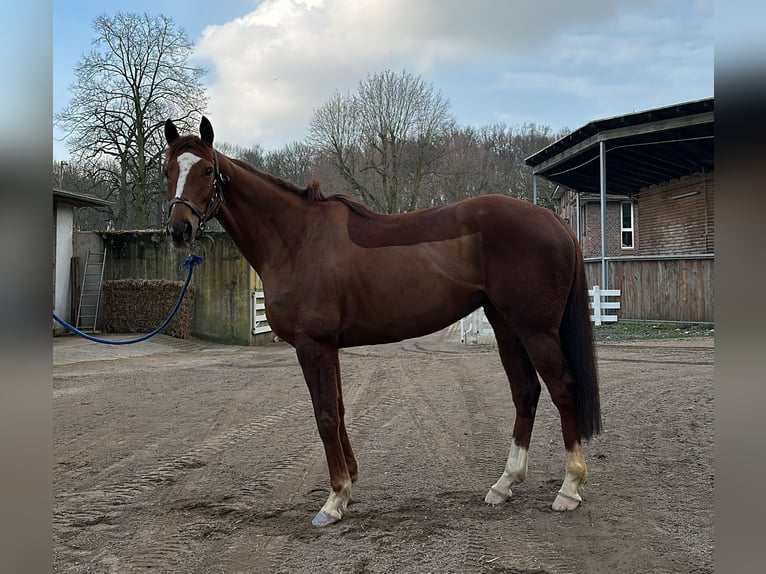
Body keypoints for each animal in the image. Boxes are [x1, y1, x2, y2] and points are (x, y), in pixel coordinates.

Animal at [165, 119, 604, 528]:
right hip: (506, 325)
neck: (297, 239)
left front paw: (333, 500)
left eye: (206, 170)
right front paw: (349, 485)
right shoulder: (328, 346)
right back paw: (504, 484)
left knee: (563, 389)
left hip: (535, 329)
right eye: (167, 169)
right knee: (526, 392)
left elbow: (325, 415)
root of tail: (554, 220)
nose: (179, 229)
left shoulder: (312, 344)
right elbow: (339, 409)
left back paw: (569, 488)